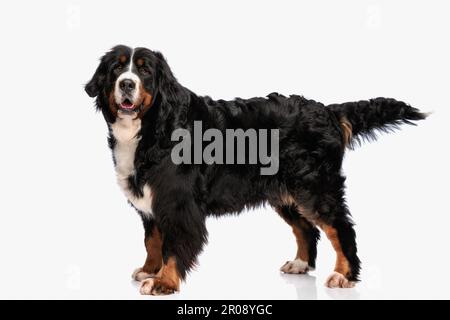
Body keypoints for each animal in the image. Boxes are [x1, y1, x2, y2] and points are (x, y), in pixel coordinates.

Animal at [85, 44, 428, 296]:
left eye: (144, 70)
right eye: (116, 68)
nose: (126, 83)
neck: (154, 126)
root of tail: (328, 111)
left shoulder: (178, 203)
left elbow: (172, 245)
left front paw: (163, 281)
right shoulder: (152, 203)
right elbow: (153, 241)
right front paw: (149, 268)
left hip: (315, 188)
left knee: (340, 228)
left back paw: (343, 275)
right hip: (287, 193)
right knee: (307, 229)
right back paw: (300, 264)